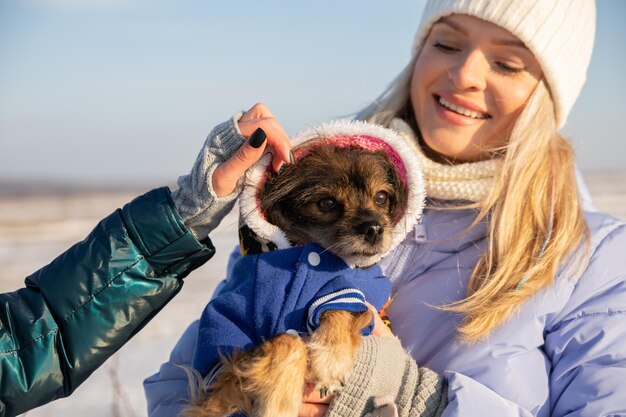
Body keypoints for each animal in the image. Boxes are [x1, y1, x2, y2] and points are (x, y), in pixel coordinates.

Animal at [183, 123, 422, 416]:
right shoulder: (216, 371)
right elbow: (288, 341)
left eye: (381, 197)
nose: (374, 228)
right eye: (327, 204)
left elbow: (341, 304)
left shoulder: (366, 297)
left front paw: (331, 357)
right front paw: (279, 403)